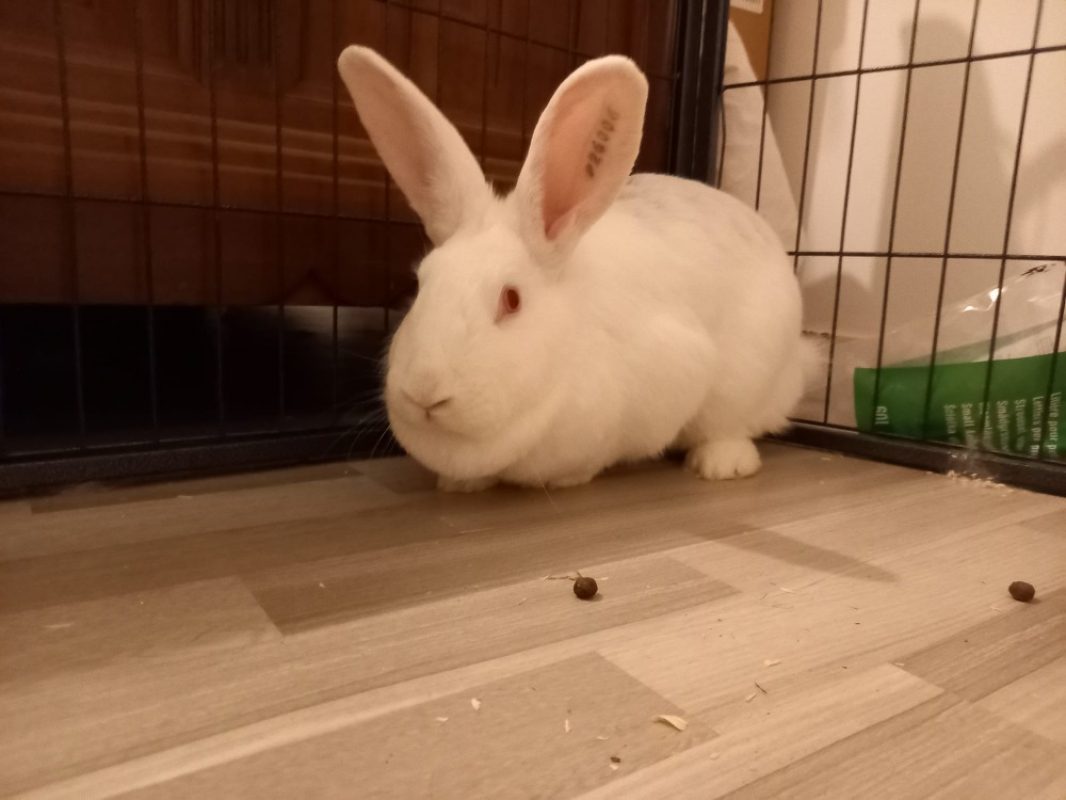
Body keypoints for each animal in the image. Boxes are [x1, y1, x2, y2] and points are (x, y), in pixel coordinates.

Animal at [337, 46, 816, 492]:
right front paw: (459, 485)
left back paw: (721, 464)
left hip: (746, 379)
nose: (424, 391)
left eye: (512, 299)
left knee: (732, 424)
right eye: (421, 286)